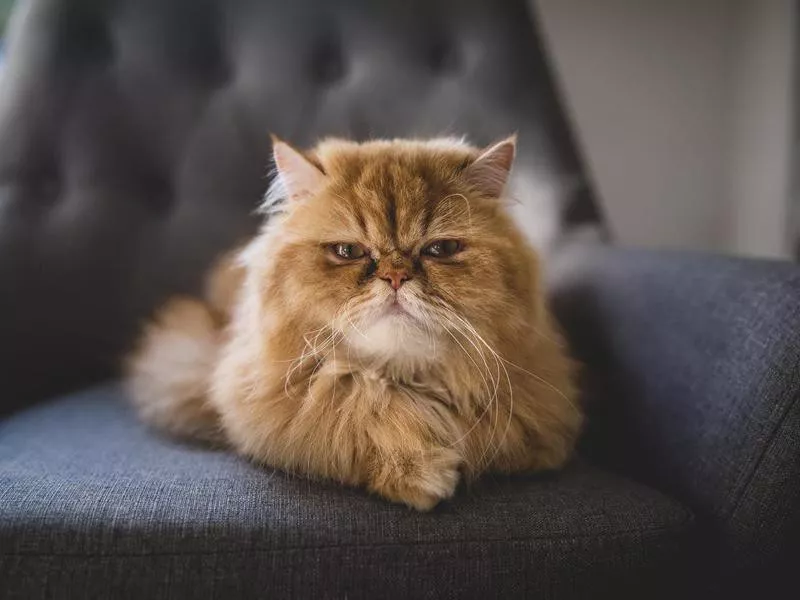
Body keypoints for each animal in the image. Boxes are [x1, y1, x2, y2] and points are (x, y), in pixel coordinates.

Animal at [128, 136, 584, 510]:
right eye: (348, 251)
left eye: (440, 249)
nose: (396, 277)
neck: (402, 383)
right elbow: (353, 424)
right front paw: (416, 474)